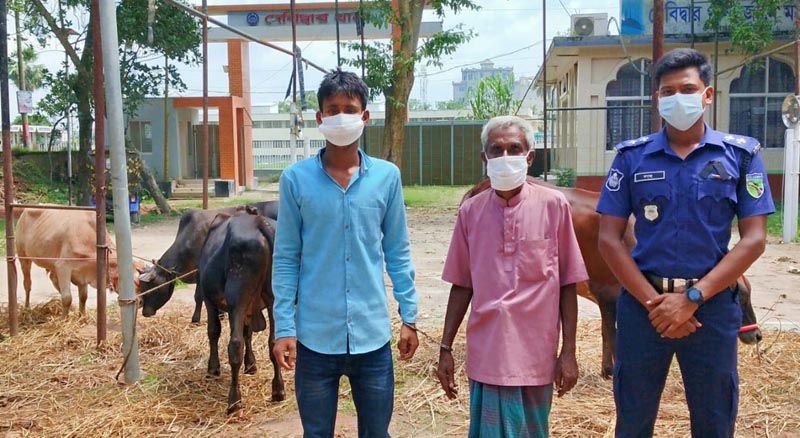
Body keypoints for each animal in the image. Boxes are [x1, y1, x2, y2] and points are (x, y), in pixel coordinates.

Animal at [15, 207, 146, 316]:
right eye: (135, 283)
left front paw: (82, 317)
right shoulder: (63, 267)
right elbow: (67, 298)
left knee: (53, 279)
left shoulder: (82, 273)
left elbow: (83, 297)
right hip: (23, 255)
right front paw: (65, 319)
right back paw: (26, 308)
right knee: (27, 283)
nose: (141, 303)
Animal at [141, 200, 282, 320]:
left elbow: (198, 296)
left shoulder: (200, 272)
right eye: (144, 289)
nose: (146, 312)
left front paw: (196, 319)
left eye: (156, 289)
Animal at [198, 207, 286, 412]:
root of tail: (260, 222)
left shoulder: (209, 300)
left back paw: (234, 400)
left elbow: (213, 332)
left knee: (235, 344)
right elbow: (248, 334)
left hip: (237, 298)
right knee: (274, 343)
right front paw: (251, 365)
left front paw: (213, 368)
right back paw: (278, 390)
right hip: (273, 300)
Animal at [460, 177, 760, 376]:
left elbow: (608, 331)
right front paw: (613, 370)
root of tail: (478, 186)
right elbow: (612, 332)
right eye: (741, 296)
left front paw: (607, 369)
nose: (756, 335)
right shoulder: (608, 292)